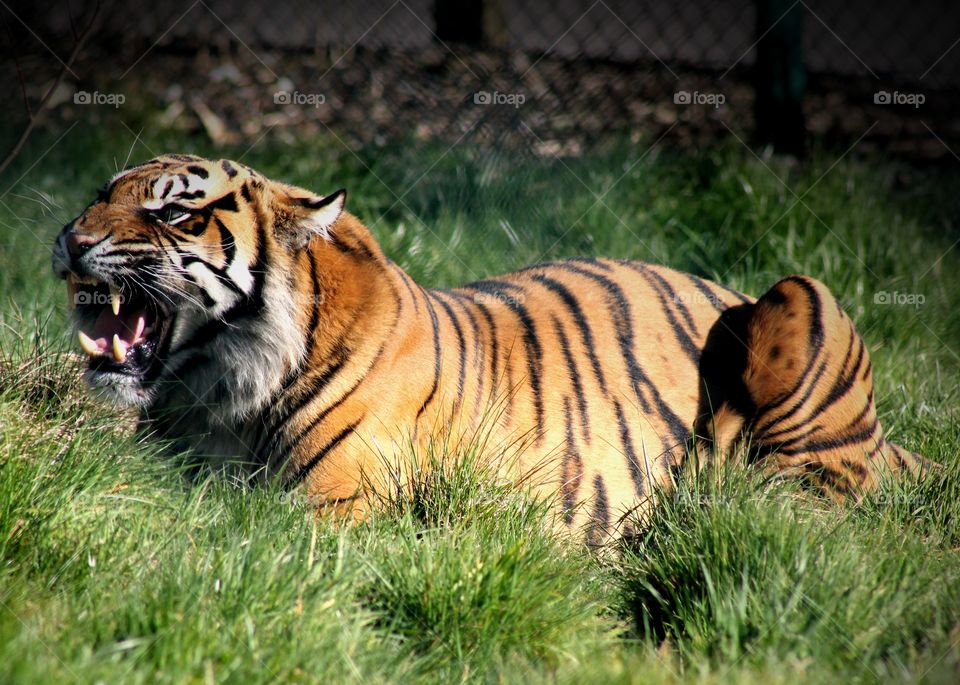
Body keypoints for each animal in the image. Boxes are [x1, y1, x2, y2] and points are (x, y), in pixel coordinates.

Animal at [51, 154, 928, 542]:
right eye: (101, 194)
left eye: (175, 213)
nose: (69, 239)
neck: (222, 392)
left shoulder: (332, 506)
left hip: (802, 294)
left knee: (800, 502)